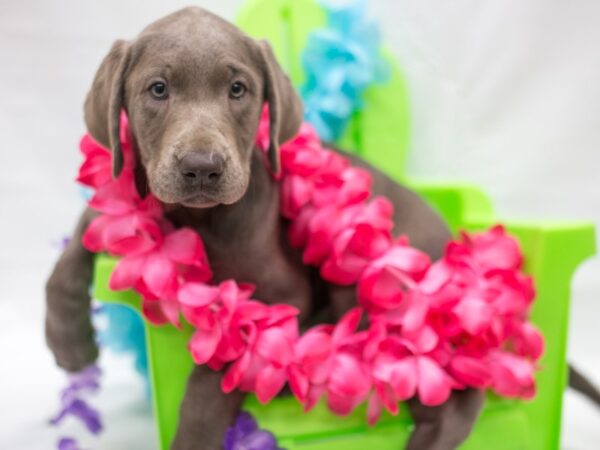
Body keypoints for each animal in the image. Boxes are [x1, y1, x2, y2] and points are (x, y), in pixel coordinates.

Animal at [48, 7, 488, 450]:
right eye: (158, 89)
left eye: (237, 89)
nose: (202, 168)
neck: (198, 218)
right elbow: (74, 250)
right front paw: (68, 343)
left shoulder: (284, 295)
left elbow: (225, 362)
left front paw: (195, 432)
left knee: (449, 390)